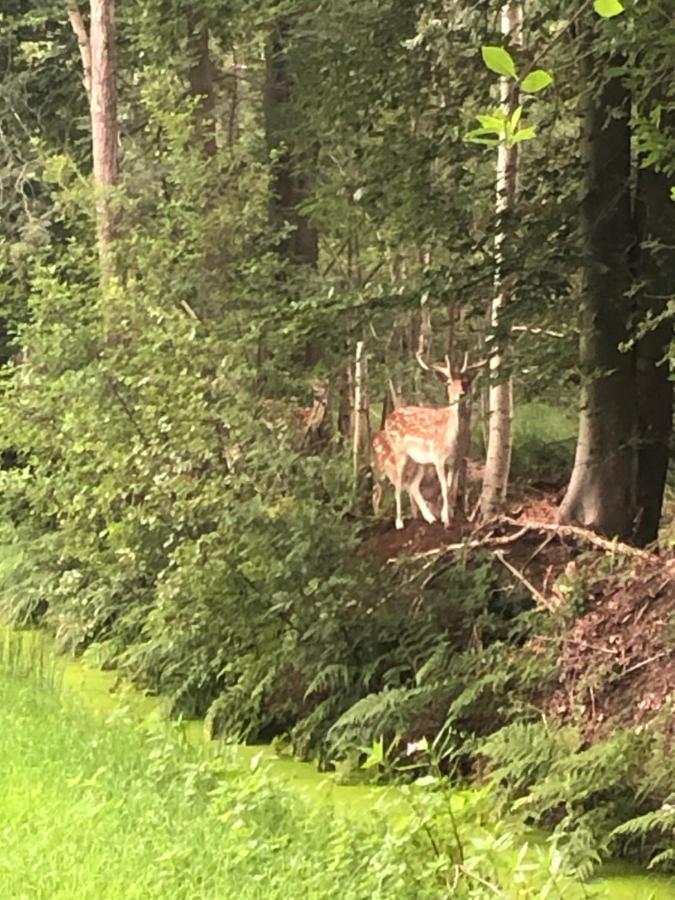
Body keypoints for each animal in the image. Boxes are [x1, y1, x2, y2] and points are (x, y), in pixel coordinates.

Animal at [378, 356, 484, 532]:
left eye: (465, 381)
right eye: (449, 382)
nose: (461, 394)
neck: (454, 441)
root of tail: (389, 418)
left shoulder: (456, 461)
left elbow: (450, 488)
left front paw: (447, 516)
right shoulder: (439, 459)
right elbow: (444, 487)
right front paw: (447, 521)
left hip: (420, 461)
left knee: (412, 485)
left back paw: (429, 518)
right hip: (399, 452)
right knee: (398, 484)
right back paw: (399, 523)